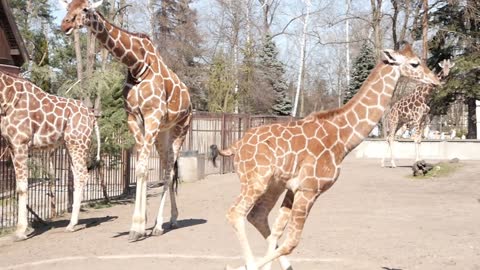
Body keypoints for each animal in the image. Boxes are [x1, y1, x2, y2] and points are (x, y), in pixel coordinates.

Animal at [0, 70, 100, 242]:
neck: (6, 98)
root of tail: (92, 117)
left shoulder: (20, 143)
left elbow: (22, 187)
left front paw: (20, 232)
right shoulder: (11, 145)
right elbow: (18, 187)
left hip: (77, 142)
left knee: (82, 174)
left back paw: (71, 224)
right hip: (70, 144)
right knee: (77, 174)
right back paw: (73, 223)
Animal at [60, 0, 193, 240]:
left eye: (85, 9)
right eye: (68, 7)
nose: (65, 24)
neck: (137, 65)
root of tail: (189, 99)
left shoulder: (151, 115)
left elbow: (141, 169)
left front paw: (138, 226)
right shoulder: (133, 118)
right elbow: (140, 167)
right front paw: (141, 222)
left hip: (180, 128)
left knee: (169, 171)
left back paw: (161, 225)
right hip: (162, 133)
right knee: (167, 167)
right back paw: (170, 219)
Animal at [212, 43, 440, 268]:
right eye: (415, 63)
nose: (436, 80)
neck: (342, 138)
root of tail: (236, 145)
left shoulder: (294, 188)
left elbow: (278, 233)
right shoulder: (309, 189)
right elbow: (291, 242)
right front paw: (244, 266)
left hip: (273, 184)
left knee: (257, 216)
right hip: (256, 180)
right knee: (235, 213)